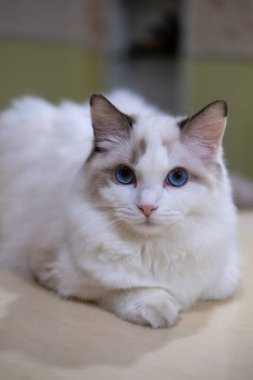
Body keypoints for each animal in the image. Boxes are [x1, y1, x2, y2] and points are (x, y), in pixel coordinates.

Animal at [0, 91, 241, 326]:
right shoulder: (54, 270)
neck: (151, 250)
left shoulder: (225, 280)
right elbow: (123, 288)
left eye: (177, 177)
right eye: (124, 175)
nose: (147, 207)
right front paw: (159, 308)